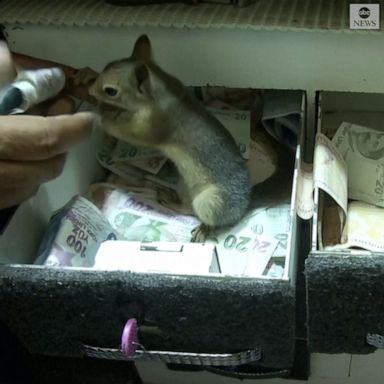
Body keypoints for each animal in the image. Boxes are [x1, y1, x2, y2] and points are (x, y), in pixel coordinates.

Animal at [85, 35, 292, 240]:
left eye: (111, 91)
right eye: (107, 64)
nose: (90, 92)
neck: (160, 89)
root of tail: (245, 204)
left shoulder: (155, 124)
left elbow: (131, 133)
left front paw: (101, 117)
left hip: (211, 201)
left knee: (208, 217)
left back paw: (205, 229)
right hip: (183, 185)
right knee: (188, 209)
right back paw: (171, 201)